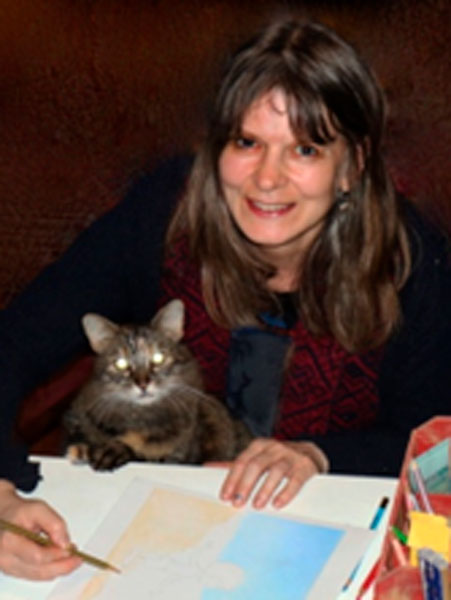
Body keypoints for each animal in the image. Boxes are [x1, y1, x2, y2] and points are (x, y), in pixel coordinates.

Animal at [64, 299, 252, 471]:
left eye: (158, 358)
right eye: (121, 364)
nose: (143, 384)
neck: (141, 417)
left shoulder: (178, 458)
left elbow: (139, 454)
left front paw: (106, 453)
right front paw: (82, 452)